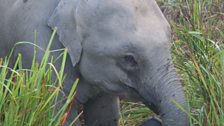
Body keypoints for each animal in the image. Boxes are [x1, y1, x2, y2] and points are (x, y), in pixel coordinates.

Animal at [0, 0, 189, 125]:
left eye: (169, 40)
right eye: (129, 59)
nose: (153, 119)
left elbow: (104, 115)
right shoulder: (39, 54)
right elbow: (59, 115)